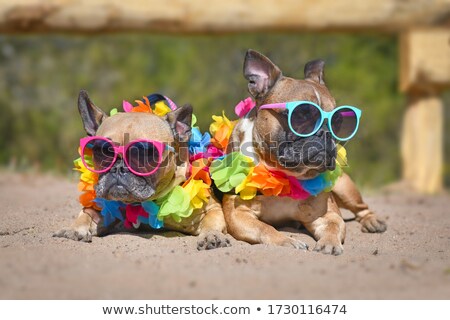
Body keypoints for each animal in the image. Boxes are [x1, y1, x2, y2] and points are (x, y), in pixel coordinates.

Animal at [55, 90, 230, 250]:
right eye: (103, 151)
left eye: (144, 154)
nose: (118, 168)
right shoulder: (105, 208)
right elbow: (86, 214)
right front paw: (74, 229)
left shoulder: (212, 209)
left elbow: (212, 222)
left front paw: (211, 235)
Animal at [223, 50, 384, 255]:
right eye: (302, 116)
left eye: (338, 121)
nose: (325, 133)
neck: (283, 175)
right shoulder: (238, 214)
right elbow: (264, 228)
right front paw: (286, 240)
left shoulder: (326, 214)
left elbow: (334, 225)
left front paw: (329, 243)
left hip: (344, 187)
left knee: (361, 207)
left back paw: (373, 220)